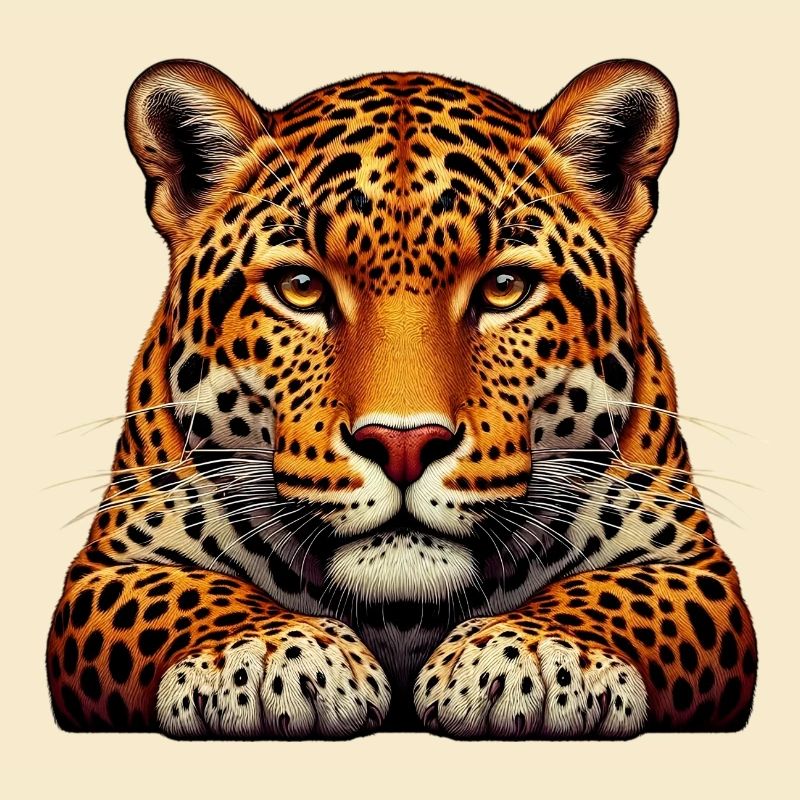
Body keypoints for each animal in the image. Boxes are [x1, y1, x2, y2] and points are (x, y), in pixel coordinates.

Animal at [46, 58, 757, 738]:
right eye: (301, 287)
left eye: (505, 287)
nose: (404, 445)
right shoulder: (110, 565)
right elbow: (184, 593)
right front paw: (265, 655)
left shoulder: (693, 564)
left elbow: (619, 593)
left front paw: (536, 655)